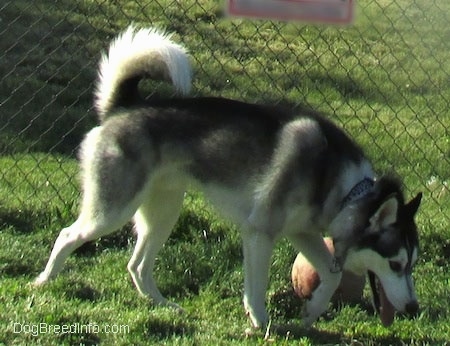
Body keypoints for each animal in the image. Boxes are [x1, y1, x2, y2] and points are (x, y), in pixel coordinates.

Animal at [34, 26, 422, 328]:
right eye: (396, 264)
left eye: (412, 264)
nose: (414, 309)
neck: (346, 189)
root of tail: (126, 105)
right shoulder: (259, 233)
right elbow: (257, 288)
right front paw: (262, 324)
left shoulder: (302, 232)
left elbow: (333, 273)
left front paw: (310, 313)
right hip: (112, 211)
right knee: (67, 235)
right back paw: (43, 282)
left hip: (163, 213)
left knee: (137, 265)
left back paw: (163, 306)